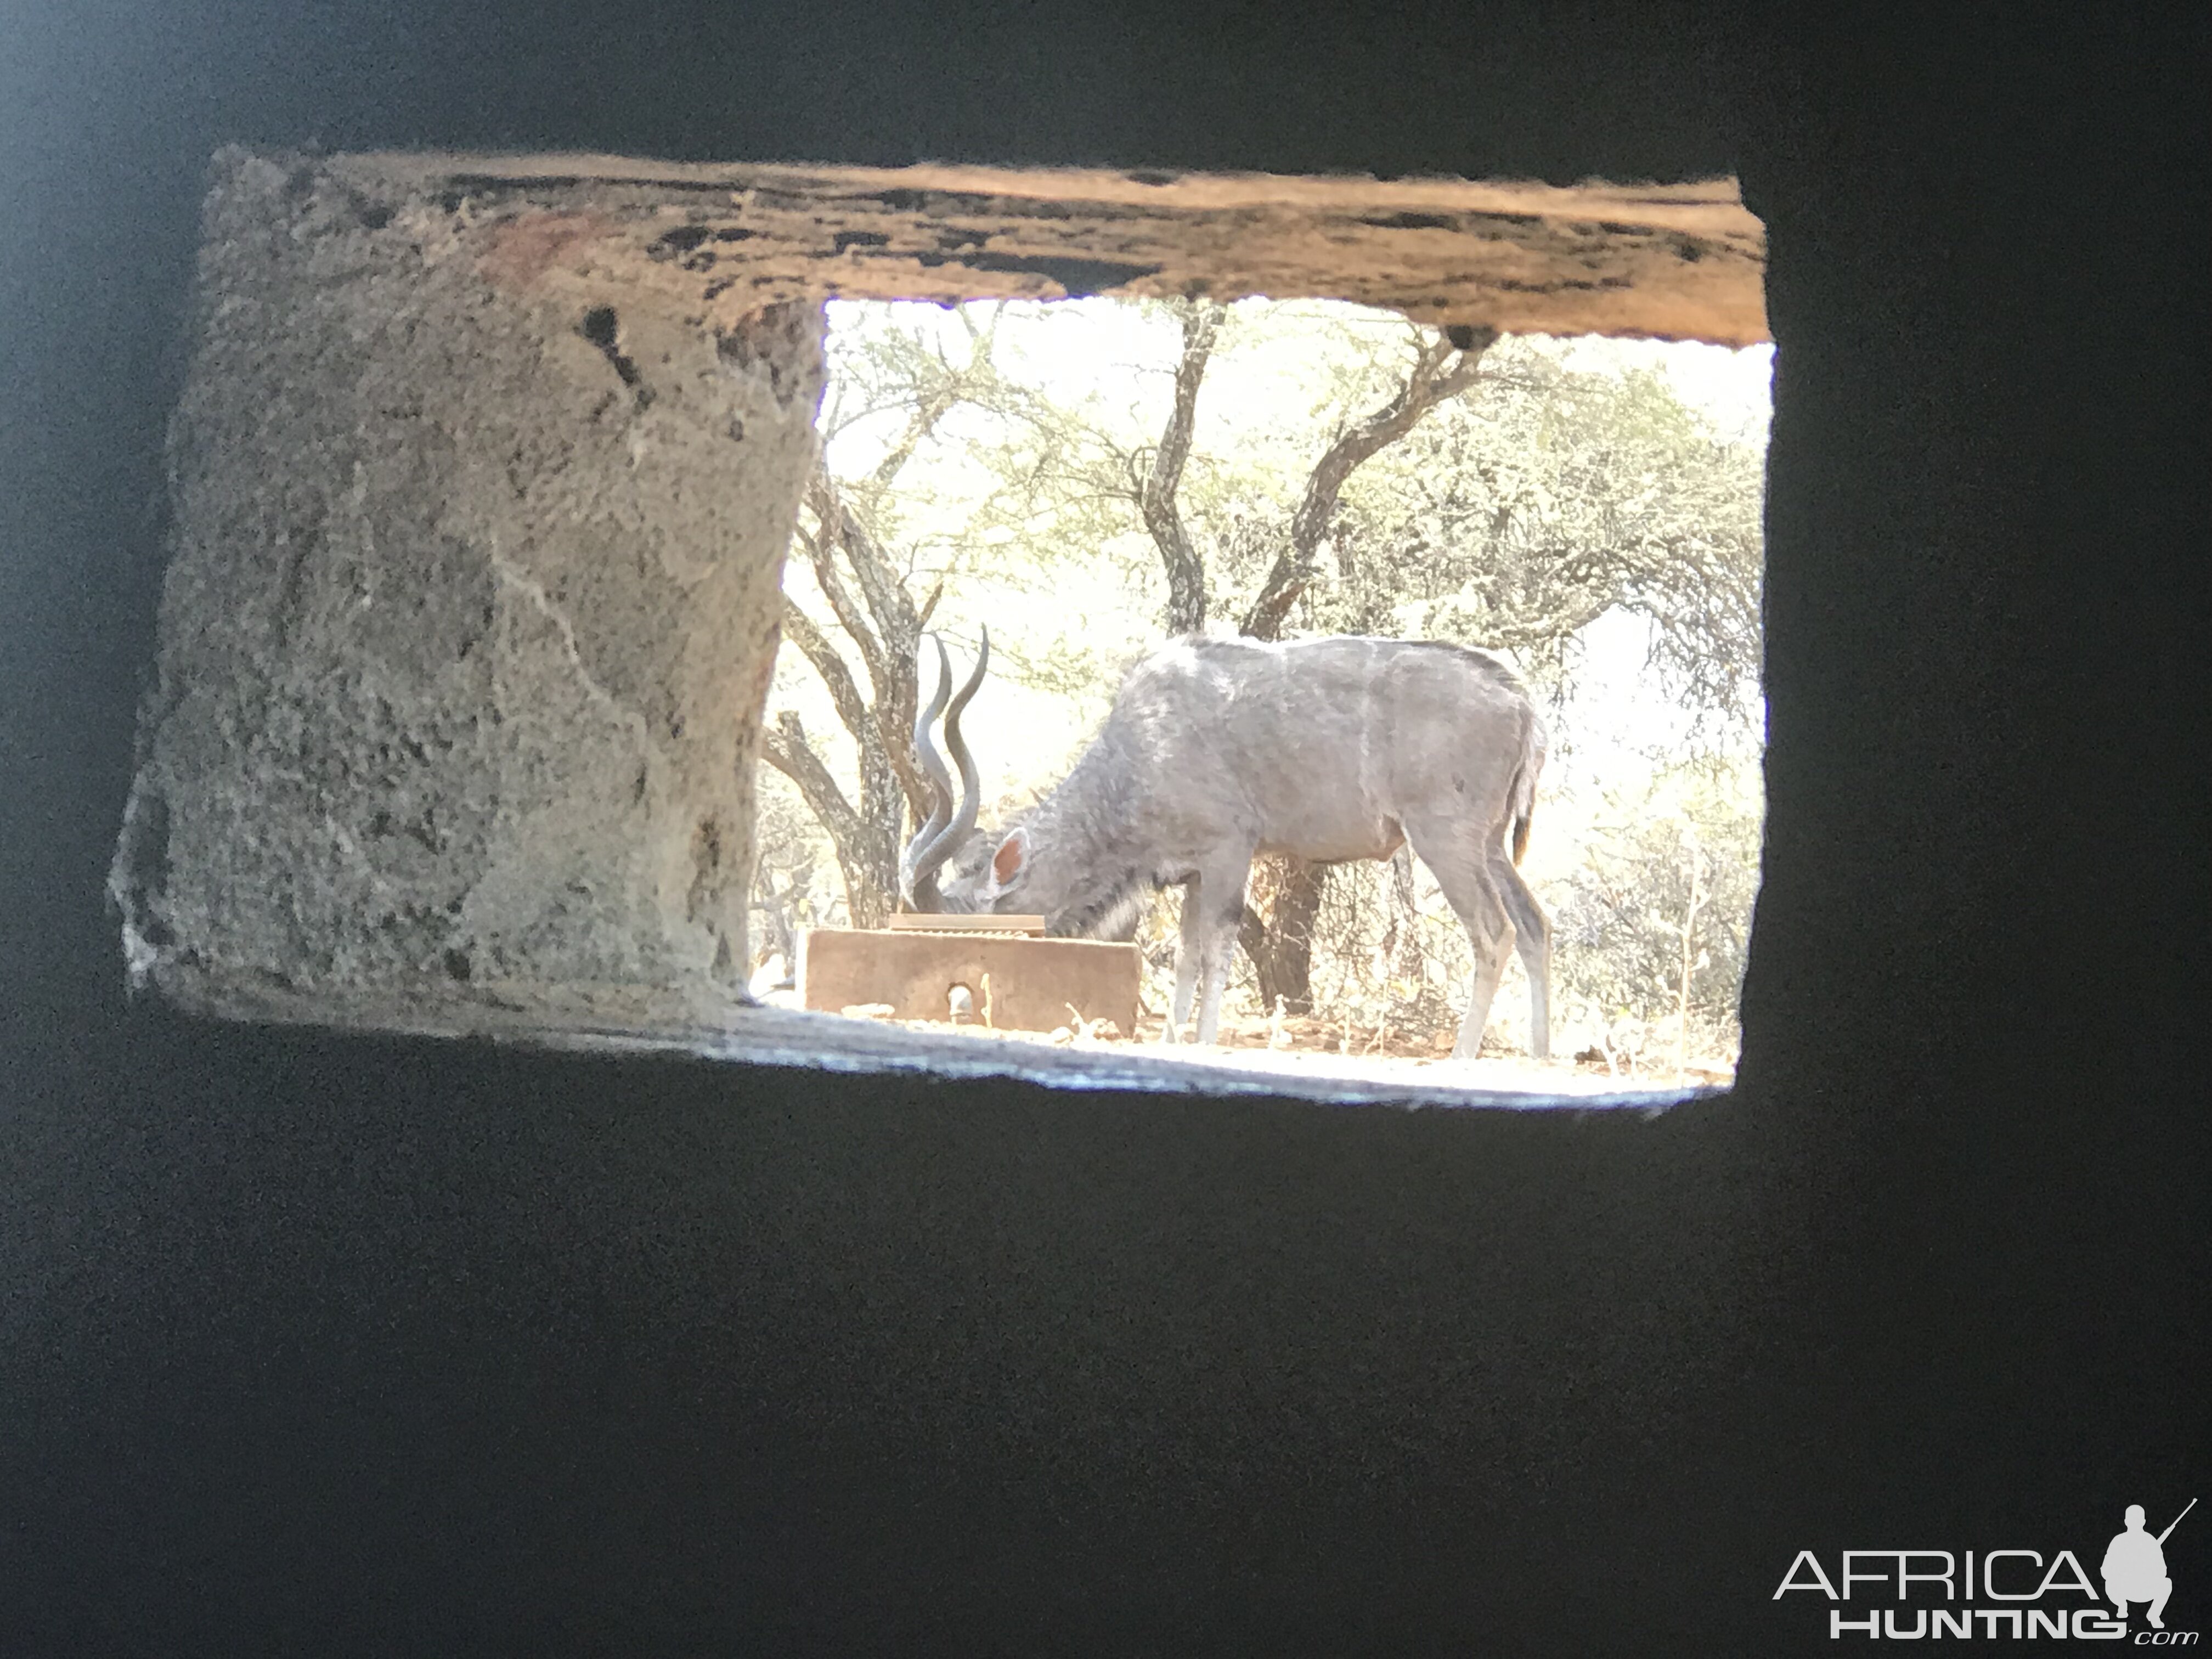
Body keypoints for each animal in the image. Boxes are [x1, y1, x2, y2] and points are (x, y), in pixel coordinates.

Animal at [898, 628, 1557, 1057]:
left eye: (966, 924)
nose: (959, 1001)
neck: (1136, 756)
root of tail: (1522, 704)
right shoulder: (1192, 872)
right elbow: (1189, 955)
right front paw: (1171, 1040)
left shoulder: (1228, 854)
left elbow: (1216, 950)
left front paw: (1203, 1042)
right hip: (1489, 846)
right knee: (1533, 925)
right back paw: (1540, 1055)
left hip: (1444, 839)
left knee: (1493, 932)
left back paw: (1463, 1058)